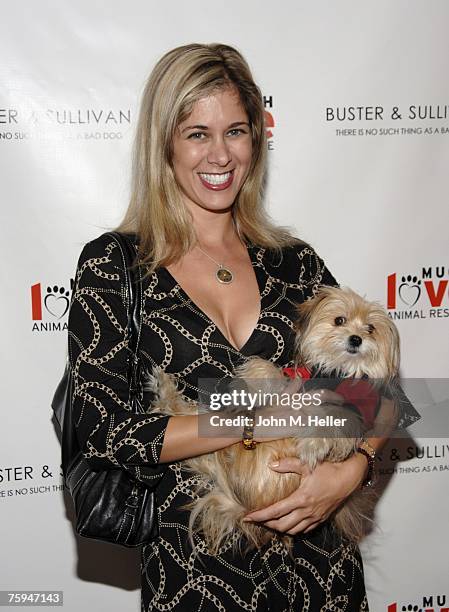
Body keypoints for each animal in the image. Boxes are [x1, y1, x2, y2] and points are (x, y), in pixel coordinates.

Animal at [146, 286, 400, 556]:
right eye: (339, 320)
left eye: (370, 328)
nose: (356, 339)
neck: (334, 370)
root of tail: (241, 506)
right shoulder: (297, 377)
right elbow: (269, 370)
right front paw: (245, 388)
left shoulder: (357, 409)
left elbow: (336, 417)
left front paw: (312, 445)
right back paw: (165, 389)